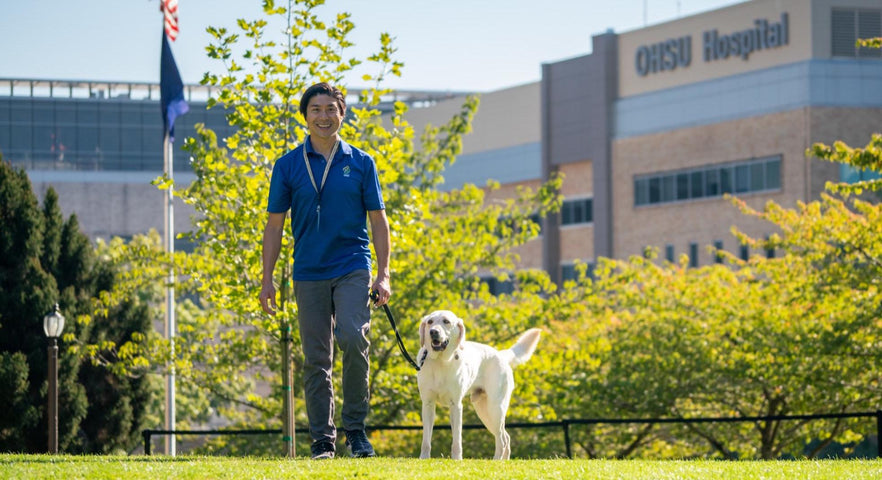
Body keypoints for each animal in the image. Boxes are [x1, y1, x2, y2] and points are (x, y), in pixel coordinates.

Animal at [416, 310, 540, 460]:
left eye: (446, 321)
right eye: (430, 322)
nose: (433, 332)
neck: (441, 361)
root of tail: (501, 355)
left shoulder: (456, 405)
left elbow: (457, 439)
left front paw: (457, 459)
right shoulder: (428, 404)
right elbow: (426, 439)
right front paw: (424, 458)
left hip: (495, 409)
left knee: (501, 439)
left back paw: (496, 460)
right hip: (484, 411)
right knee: (506, 436)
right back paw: (504, 461)